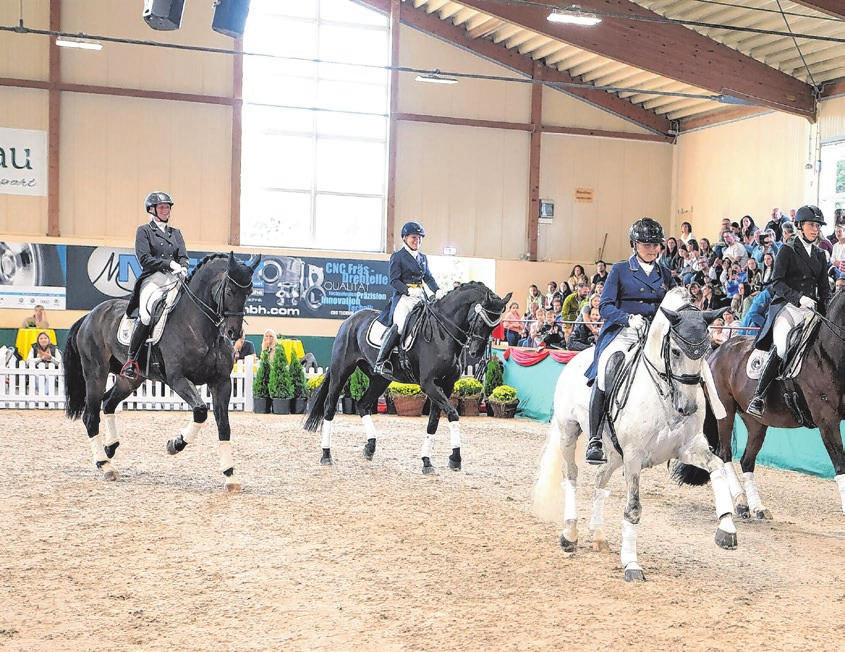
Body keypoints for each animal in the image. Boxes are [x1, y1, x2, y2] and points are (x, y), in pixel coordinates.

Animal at [64, 252, 258, 492]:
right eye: (230, 291)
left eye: (249, 292)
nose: (233, 333)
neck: (198, 326)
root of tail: (90, 315)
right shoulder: (177, 379)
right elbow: (200, 411)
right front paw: (175, 444)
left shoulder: (221, 383)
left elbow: (224, 426)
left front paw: (230, 476)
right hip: (95, 372)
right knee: (90, 416)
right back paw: (105, 465)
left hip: (130, 379)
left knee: (108, 403)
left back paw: (110, 448)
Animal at [306, 280, 512, 474]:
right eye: (481, 321)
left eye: (495, 325)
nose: (476, 352)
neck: (443, 333)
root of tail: (350, 320)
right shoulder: (429, 384)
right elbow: (453, 414)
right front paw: (454, 458)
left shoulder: (446, 385)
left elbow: (434, 422)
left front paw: (430, 461)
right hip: (341, 371)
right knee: (330, 407)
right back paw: (326, 454)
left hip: (380, 379)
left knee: (363, 404)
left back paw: (370, 447)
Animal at [672, 290, 844, 520]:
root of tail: (717, 351)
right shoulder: (827, 420)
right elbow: (840, 464)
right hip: (725, 413)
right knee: (725, 454)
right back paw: (741, 502)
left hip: (756, 422)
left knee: (747, 460)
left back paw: (757, 507)